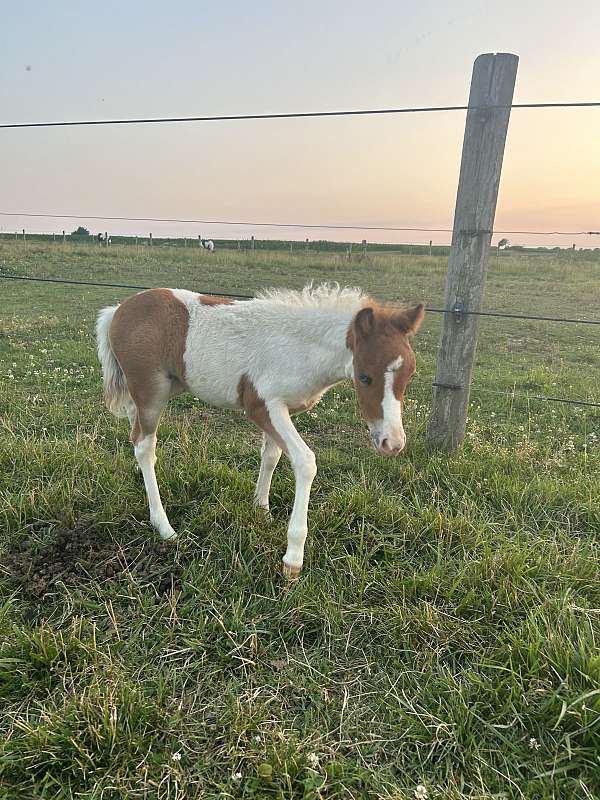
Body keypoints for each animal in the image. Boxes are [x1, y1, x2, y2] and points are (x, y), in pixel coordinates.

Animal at [96, 284, 424, 578]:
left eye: (410, 374)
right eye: (364, 376)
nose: (392, 443)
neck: (299, 349)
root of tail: (118, 310)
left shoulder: (283, 410)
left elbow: (271, 456)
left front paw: (261, 510)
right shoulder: (262, 405)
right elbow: (305, 462)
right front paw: (293, 559)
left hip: (155, 393)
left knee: (135, 435)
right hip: (151, 394)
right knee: (144, 446)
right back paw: (164, 526)